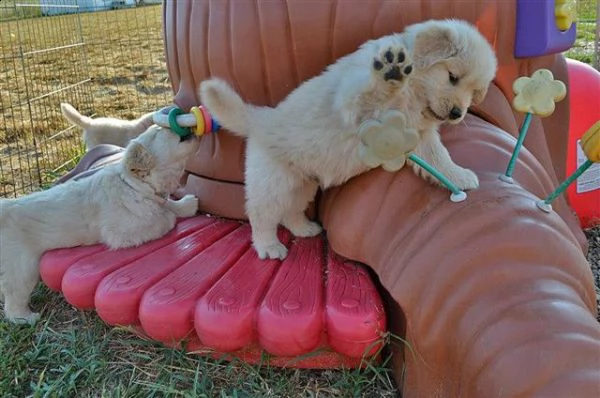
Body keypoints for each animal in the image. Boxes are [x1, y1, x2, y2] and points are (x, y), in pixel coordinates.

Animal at [0, 126, 202, 324]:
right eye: (159, 130)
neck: (133, 185)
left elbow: (168, 204)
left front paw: (186, 205)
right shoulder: (121, 233)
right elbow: (162, 218)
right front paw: (169, 215)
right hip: (21, 267)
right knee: (14, 299)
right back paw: (26, 318)